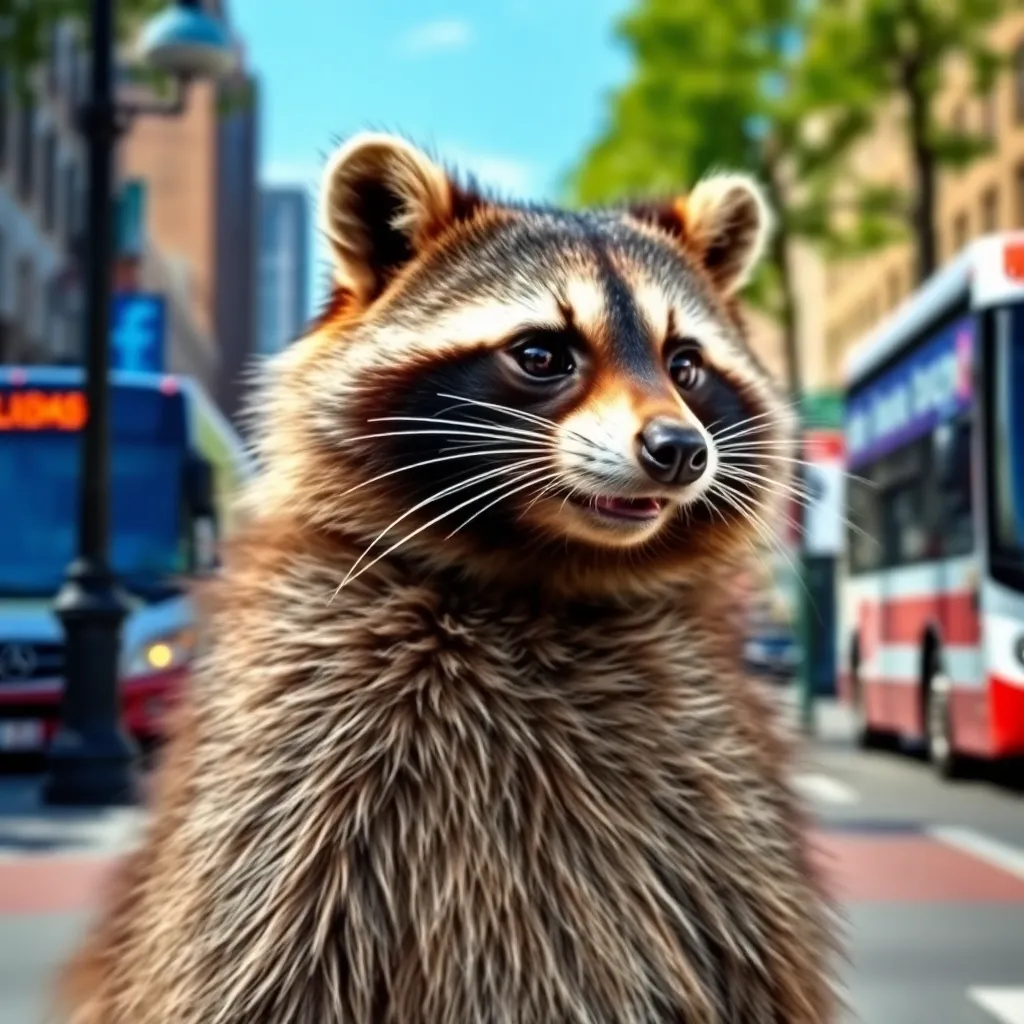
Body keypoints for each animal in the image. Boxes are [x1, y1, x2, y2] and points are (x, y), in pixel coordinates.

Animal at [60, 133, 838, 1024]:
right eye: (542, 354)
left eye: (686, 363)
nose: (680, 450)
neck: (545, 568)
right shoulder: (293, 738)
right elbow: (249, 955)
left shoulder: (718, 774)